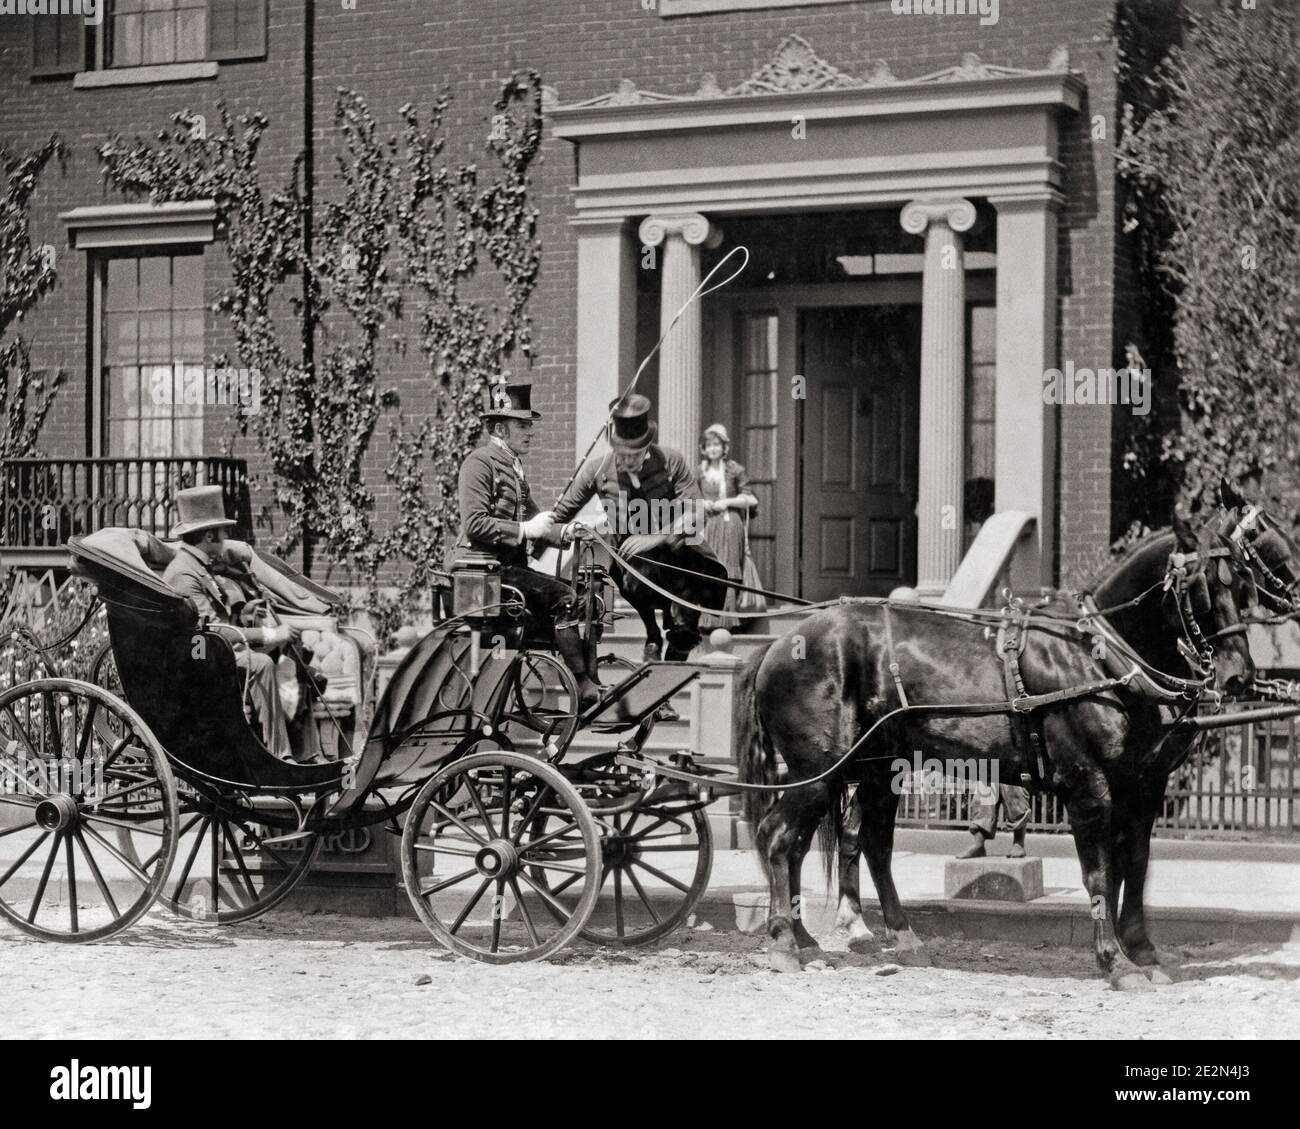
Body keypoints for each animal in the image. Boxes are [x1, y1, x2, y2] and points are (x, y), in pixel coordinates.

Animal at [743, 502, 1258, 988]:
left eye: (1244, 585)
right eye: (1202, 586)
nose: (1239, 673)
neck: (1096, 657)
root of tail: (780, 644)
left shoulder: (1144, 785)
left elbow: (1134, 864)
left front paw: (1143, 952)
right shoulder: (1089, 786)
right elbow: (1099, 873)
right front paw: (1116, 962)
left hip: (874, 769)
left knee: (861, 843)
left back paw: (875, 938)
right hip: (821, 770)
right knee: (778, 836)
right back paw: (785, 942)